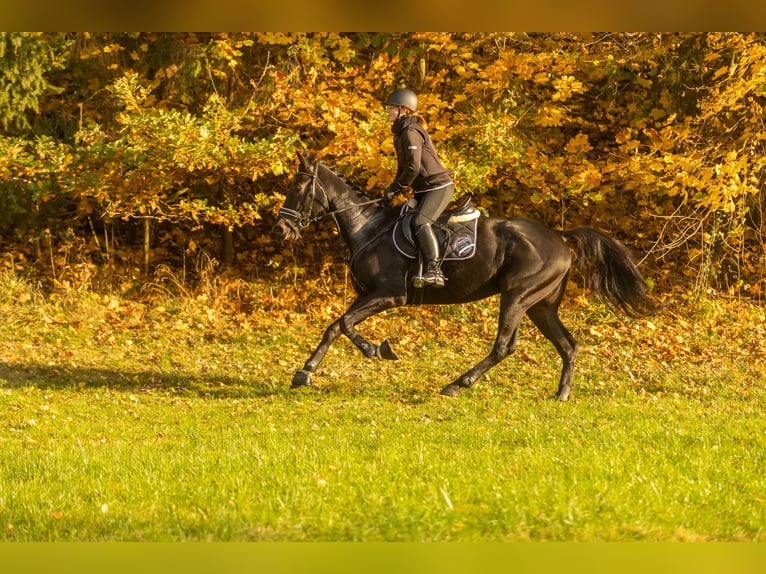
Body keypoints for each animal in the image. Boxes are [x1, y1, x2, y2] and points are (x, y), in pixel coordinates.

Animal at [272, 155, 656, 402]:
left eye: (299, 187)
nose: (280, 229)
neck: (369, 227)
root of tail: (560, 237)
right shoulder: (368, 293)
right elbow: (337, 325)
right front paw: (308, 371)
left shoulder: (390, 294)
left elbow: (344, 324)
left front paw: (373, 351)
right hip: (540, 305)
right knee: (567, 344)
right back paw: (561, 394)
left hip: (517, 296)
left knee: (504, 346)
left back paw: (457, 384)